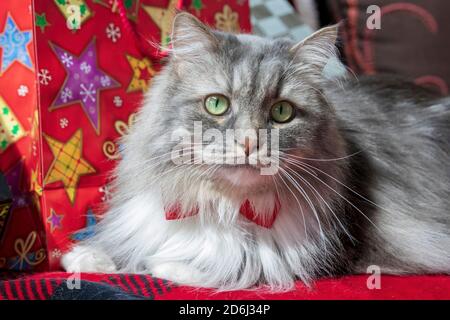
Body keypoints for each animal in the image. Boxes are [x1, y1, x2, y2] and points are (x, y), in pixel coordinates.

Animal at [60, 13, 450, 292]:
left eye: (282, 112)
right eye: (217, 104)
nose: (249, 142)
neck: (224, 206)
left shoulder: (326, 253)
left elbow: (217, 265)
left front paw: (160, 264)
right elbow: (130, 246)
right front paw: (85, 259)